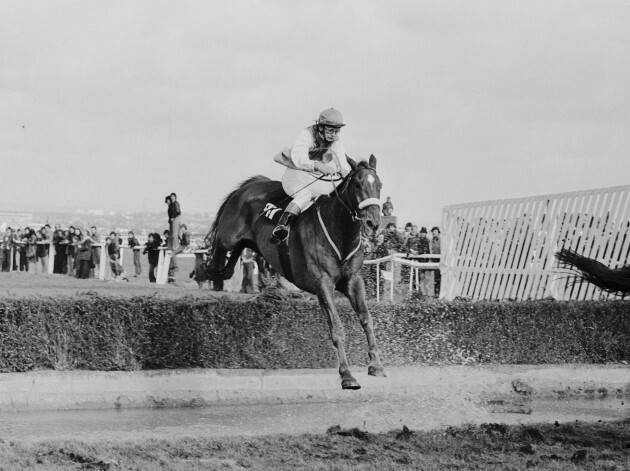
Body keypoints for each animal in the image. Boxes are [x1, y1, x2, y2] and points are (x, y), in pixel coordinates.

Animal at [206, 155, 386, 390]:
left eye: (379, 186)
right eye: (358, 184)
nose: (373, 222)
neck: (340, 232)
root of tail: (249, 186)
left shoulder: (353, 280)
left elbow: (367, 320)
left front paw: (376, 365)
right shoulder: (323, 282)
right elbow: (337, 327)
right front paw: (347, 375)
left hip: (252, 243)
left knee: (237, 256)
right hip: (228, 236)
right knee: (220, 248)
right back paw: (212, 269)